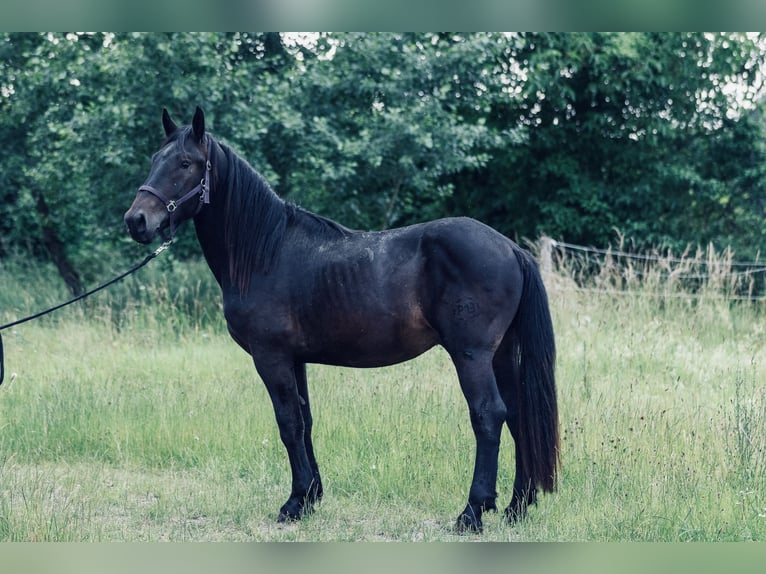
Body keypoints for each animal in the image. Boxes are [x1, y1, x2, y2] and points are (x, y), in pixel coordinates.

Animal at [124, 108, 560, 536]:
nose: (136, 220)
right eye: (154, 159)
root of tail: (511, 248)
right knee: (517, 416)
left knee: (489, 416)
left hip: (472, 356)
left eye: (185, 163)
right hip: (501, 355)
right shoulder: (295, 359)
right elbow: (305, 420)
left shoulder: (271, 357)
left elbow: (288, 423)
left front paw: (294, 503)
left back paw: (472, 512)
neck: (266, 252)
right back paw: (516, 508)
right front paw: (311, 497)